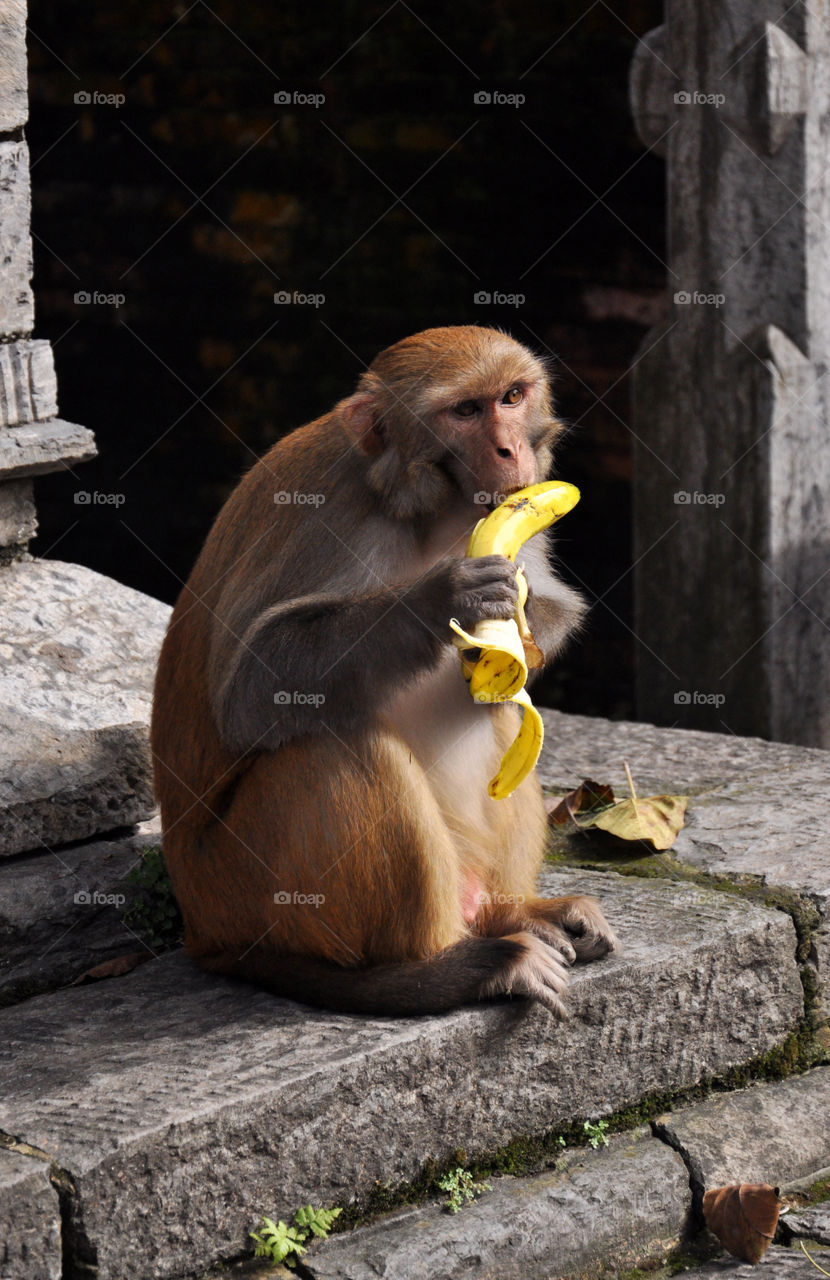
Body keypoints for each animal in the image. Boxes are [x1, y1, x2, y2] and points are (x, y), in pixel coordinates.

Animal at [151, 325, 617, 1017]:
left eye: (511, 397)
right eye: (465, 411)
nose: (509, 449)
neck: (426, 511)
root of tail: (202, 930)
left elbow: (538, 625)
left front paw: (522, 613)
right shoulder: (328, 515)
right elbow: (248, 694)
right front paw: (437, 599)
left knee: (504, 710)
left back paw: (511, 914)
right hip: (240, 890)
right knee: (335, 743)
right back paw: (446, 969)